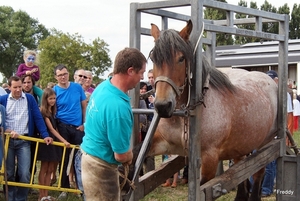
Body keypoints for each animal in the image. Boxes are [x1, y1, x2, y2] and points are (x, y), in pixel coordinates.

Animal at [148, 20, 278, 199]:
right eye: (154, 58)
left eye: (181, 58)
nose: (162, 106)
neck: (185, 118)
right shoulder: (162, 143)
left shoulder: (209, 159)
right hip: (240, 147)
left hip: (264, 144)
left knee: (258, 174)